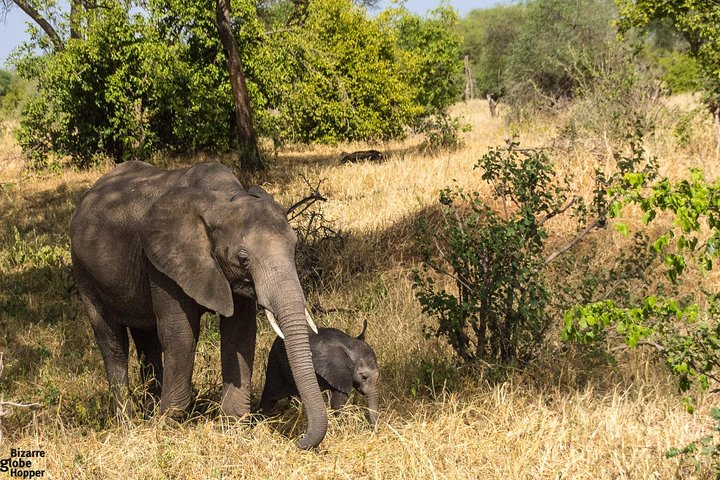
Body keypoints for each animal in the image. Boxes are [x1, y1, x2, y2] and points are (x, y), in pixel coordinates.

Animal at [69, 161, 328, 450]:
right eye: (243, 259)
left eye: (294, 247)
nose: (298, 441)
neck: (223, 198)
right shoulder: (163, 261)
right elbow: (181, 335)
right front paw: (168, 426)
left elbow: (239, 334)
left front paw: (234, 426)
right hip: (84, 273)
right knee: (113, 342)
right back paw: (128, 423)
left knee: (147, 338)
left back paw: (149, 411)